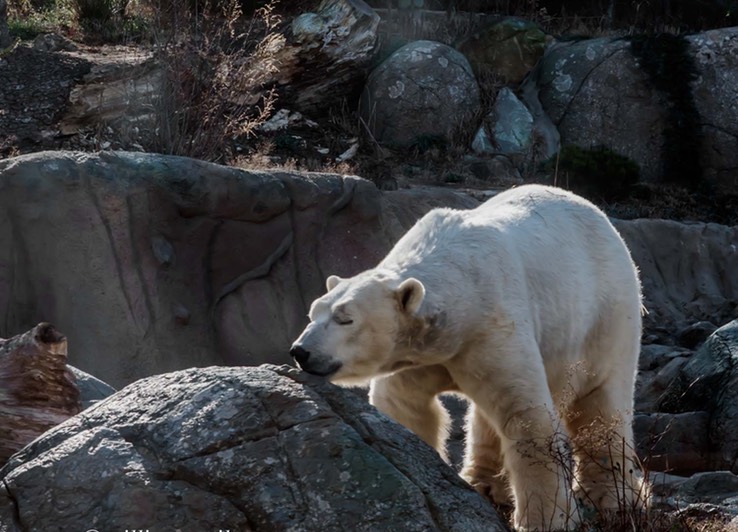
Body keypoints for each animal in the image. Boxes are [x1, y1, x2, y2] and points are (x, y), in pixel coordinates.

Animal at [290, 185, 648, 528]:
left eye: (345, 318)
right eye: (313, 312)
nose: (300, 351)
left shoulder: (492, 326)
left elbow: (527, 417)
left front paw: (544, 520)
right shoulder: (420, 355)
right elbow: (406, 406)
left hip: (606, 314)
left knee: (600, 405)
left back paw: (609, 498)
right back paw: (483, 484)